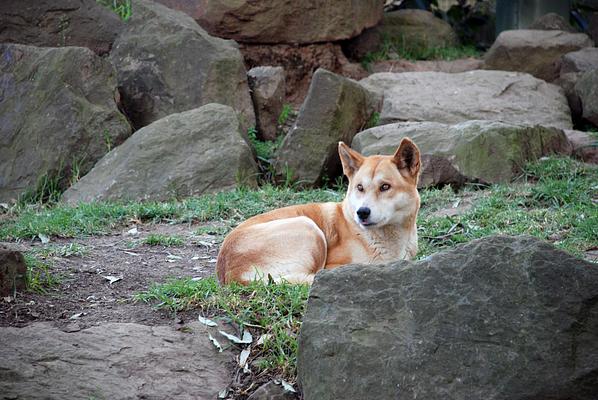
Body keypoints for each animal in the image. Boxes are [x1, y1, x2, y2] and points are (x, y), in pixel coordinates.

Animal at [217, 138, 422, 284]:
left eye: (385, 187)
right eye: (360, 187)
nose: (362, 212)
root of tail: (231, 274)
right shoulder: (334, 264)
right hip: (307, 226)